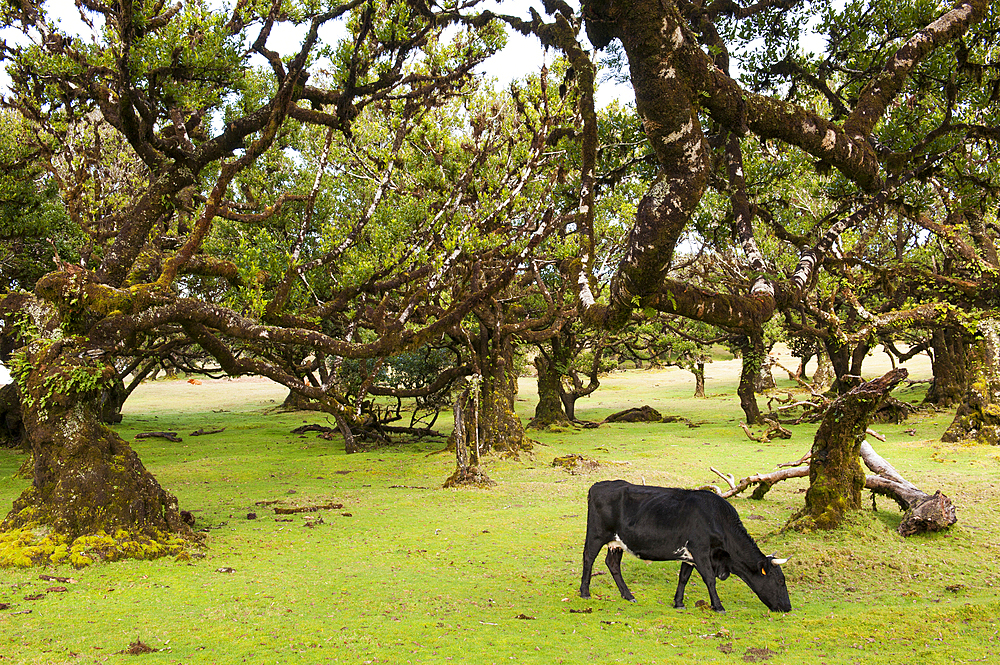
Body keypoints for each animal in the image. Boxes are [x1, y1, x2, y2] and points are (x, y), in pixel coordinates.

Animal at [580, 478, 788, 612]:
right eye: (780, 581)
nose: (788, 607)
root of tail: (597, 486)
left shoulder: (690, 555)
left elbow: (684, 578)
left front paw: (678, 603)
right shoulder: (700, 550)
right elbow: (709, 579)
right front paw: (718, 606)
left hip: (616, 542)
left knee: (612, 564)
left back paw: (628, 595)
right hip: (596, 534)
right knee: (588, 558)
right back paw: (585, 592)